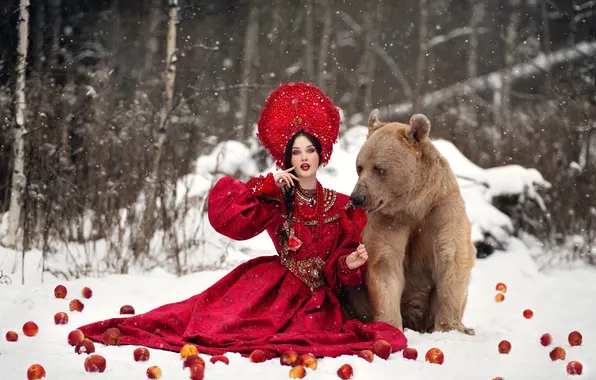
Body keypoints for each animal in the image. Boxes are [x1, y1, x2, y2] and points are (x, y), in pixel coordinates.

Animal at [344, 110, 474, 336]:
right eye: (359, 166)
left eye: (379, 168)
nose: (358, 197)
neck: (414, 204)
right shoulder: (389, 220)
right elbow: (385, 264)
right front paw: (390, 324)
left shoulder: (441, 210)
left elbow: (452, 257)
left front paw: (450, 326)